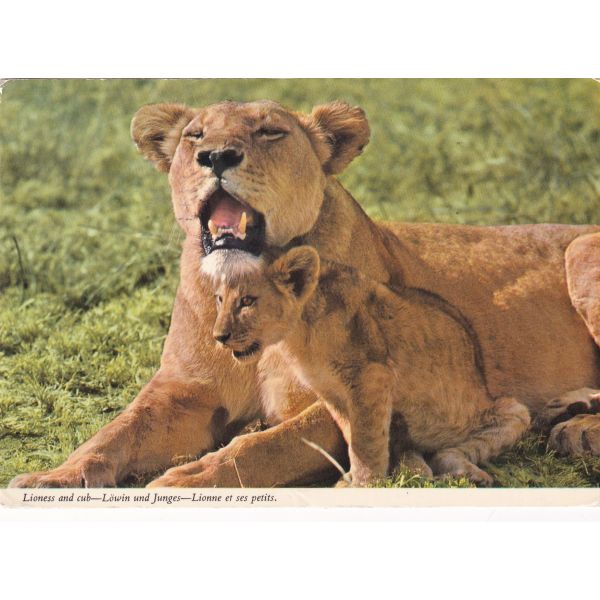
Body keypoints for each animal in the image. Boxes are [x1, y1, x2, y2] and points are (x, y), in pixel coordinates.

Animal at [9, 99, 600, 489]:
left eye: (271, 132)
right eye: (194, 135)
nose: (216, 157)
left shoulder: (351, 389)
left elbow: (261, 447)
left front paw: (186, 479)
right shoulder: (185, 389)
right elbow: (115, 432)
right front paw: (52, 478)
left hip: (581, 250)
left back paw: (578, 432)